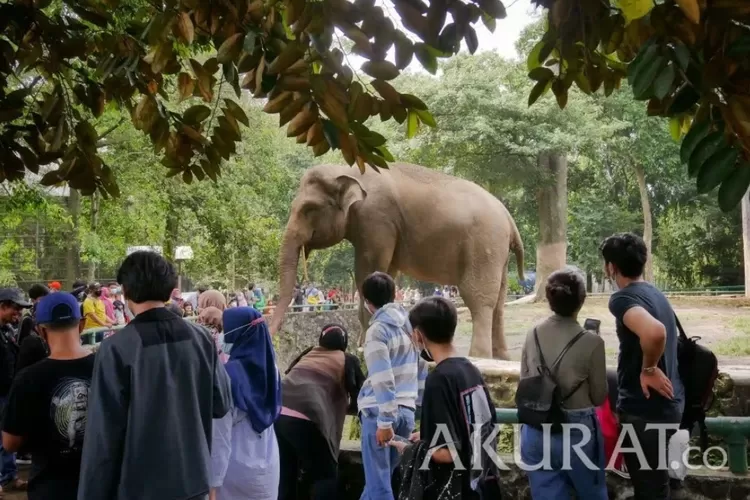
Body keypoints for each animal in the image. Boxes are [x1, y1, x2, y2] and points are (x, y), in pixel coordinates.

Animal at [268, 163, 524, 360]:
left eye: (309, 209)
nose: (271, 335)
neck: (346, 169)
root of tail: (509, 218)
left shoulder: (375, 219)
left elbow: (368, 272)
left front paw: (363, 347)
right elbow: (386, 272)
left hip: (483, 245)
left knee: (478, 297)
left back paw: (479, 357)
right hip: (497, 254)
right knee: (499, 300)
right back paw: (501, 358)